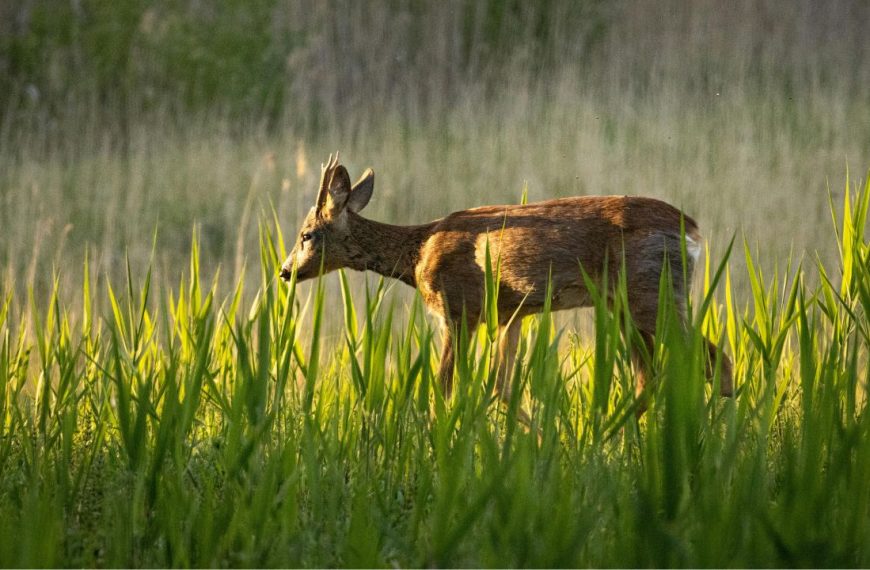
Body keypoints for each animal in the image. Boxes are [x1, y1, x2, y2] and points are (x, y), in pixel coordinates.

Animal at [279, 154, 734, 412]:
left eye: (306, 235)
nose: (285, 272)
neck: (418, 252)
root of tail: (692, 230)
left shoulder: (458, 308)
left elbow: (443, 388)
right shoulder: (510, 313)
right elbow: (503, 388)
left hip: (651, 294)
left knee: (717, 361)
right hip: (625, 304)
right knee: (651, 376)